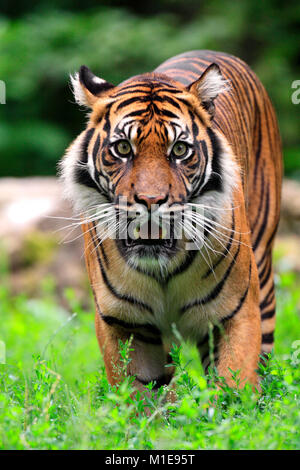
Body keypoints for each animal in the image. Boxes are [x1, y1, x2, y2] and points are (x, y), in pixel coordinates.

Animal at [59, 49, 282, 394]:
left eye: (179, 150)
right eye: (122, 148)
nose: (151, 200)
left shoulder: (236, 313)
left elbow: (232, 387)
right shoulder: (123, 322)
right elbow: (135, 393)